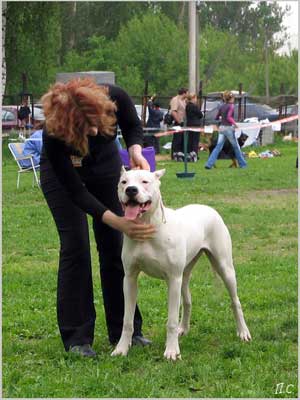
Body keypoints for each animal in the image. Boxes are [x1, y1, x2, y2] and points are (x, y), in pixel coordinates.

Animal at [112, 169, 251, 360]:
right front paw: (122, 348)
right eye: (124, 182)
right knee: (187, 300)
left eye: (145, 181)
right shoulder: (130, 279)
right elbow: (127, 320)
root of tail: (208, 207)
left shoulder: (172, 278)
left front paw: (171, 351)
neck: (148, 225)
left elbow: (170, 320)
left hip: (224, 268)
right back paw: (183, 328)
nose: (131, 190)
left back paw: (243, 332)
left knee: (235, 301)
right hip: (184, 275)